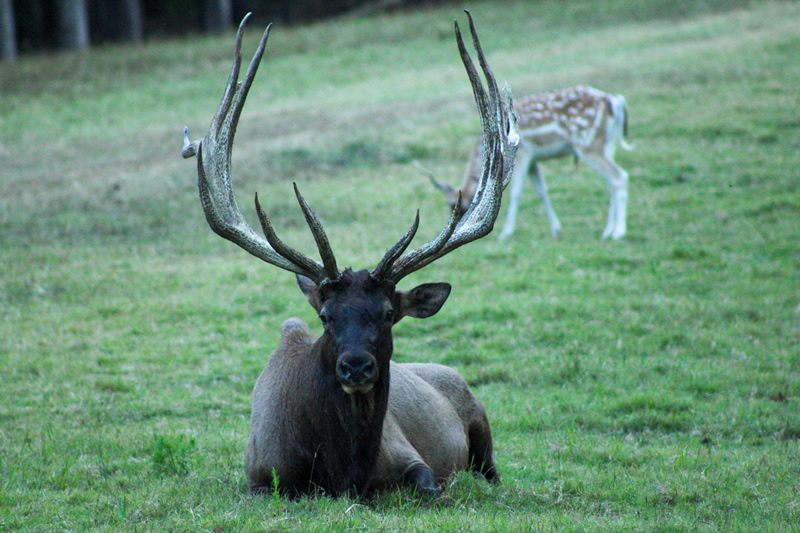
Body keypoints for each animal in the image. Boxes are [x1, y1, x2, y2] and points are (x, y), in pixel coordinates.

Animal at [182, 13, 519, 498]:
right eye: (325, 316)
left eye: (387, 313)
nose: (356, 366)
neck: (344, 471)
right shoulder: (260, 478)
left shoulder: (410, 456)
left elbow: (430, 486)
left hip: (481, 423)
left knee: (491, 470)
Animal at [430, 86, 633, 240]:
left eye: (455, 206)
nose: (456, 230)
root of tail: (614, 101)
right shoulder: (534, 161)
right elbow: (542, 191)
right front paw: (556, 230)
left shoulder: (524, 154)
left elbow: (516, 192)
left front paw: (506, 233)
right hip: (606, 143)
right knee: (611, 181)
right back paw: (608, 231)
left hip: (587, 144)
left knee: (619, 176)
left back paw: (619, 232)